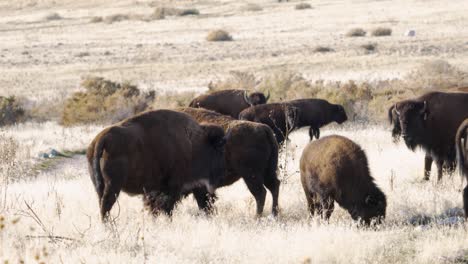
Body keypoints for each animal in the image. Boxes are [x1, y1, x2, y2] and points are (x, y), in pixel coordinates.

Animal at [87, 109, 229, 221]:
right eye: (218, 150)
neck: (195, 144)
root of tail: (102, 139)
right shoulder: (173, 187)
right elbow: (166, 207)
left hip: (100, 186)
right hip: (113, 186)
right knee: (106, 205)